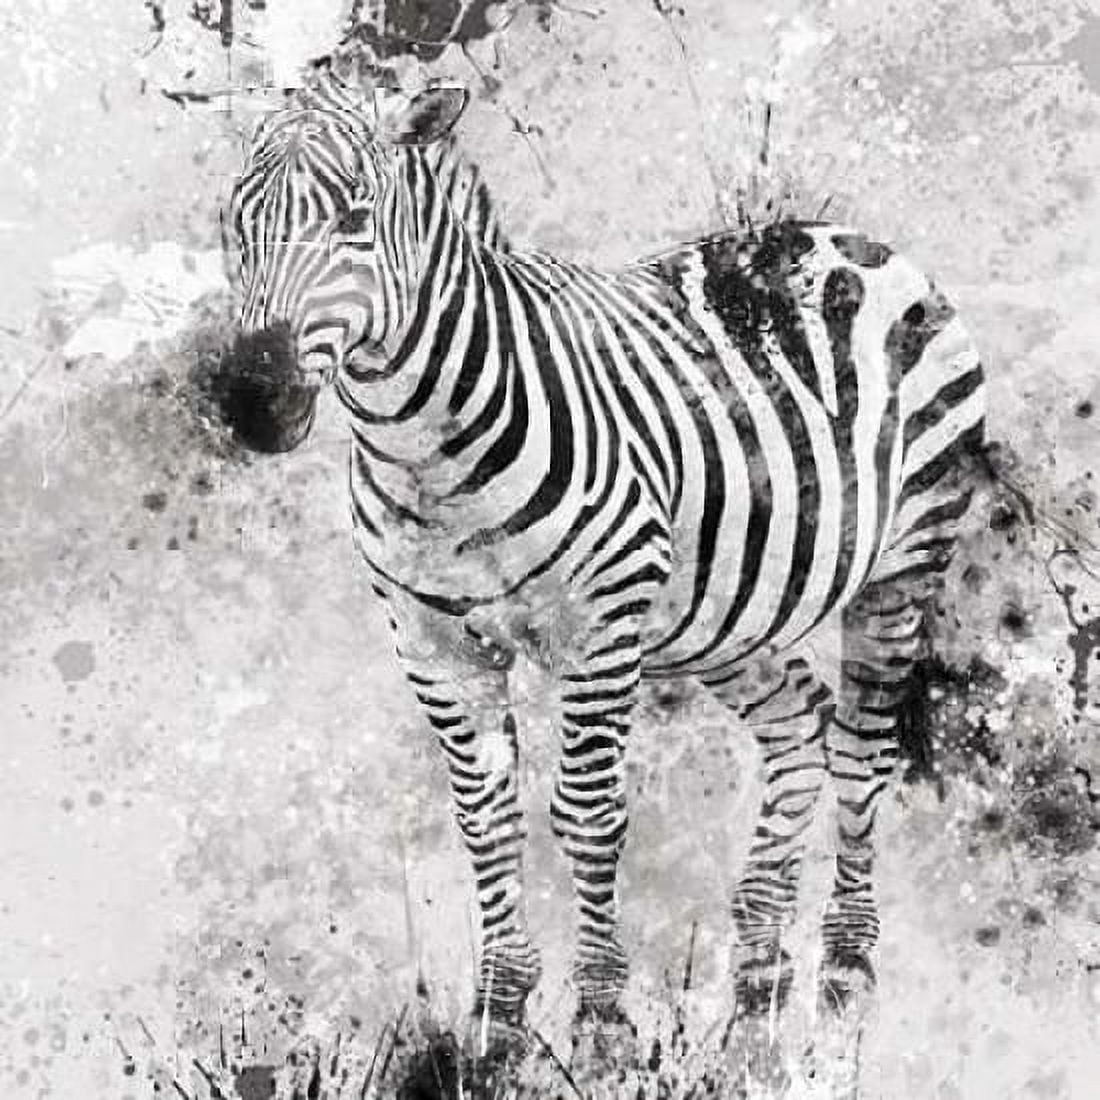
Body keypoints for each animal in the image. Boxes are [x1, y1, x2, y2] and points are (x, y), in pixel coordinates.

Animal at [225, 73, 986, 1063]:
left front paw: (599, 1022)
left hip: (906, 558)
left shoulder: (597, 629)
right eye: (233, 221)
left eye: (355, 219)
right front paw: (500, 1021)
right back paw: (757, 990)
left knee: (862, 749)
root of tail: (846, 236)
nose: (252, 400)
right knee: (798, 726)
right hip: (722, 616)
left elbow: (587, 815)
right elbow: (486, 819)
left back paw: (846, 977)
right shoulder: (433, 647)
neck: (423, 451)